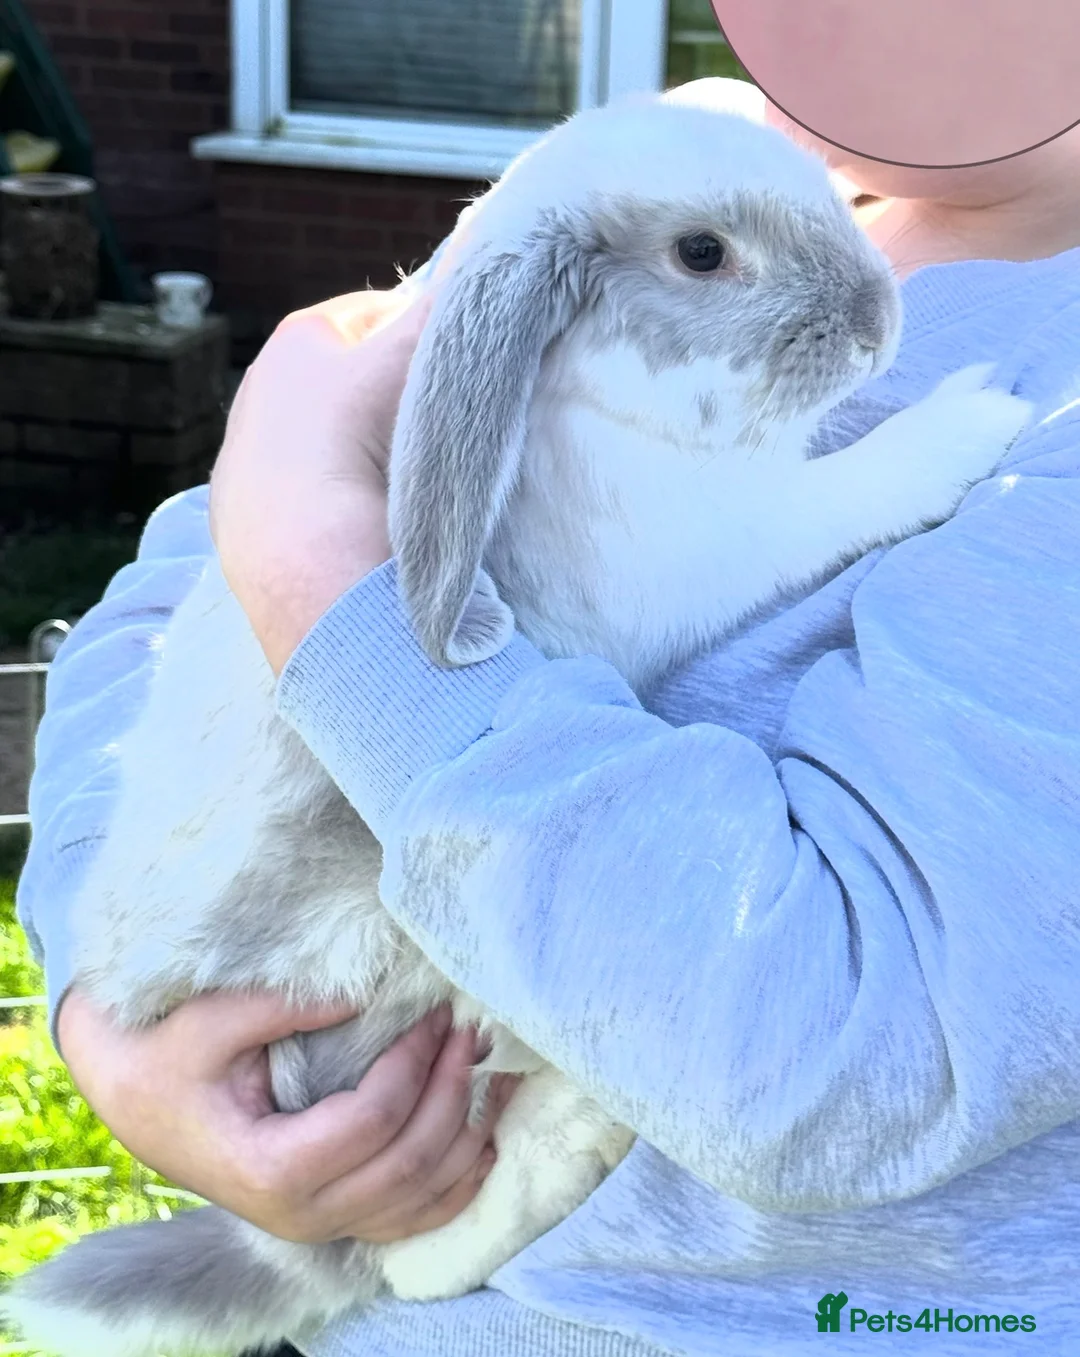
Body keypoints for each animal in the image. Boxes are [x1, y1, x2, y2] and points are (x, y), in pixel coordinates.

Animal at [3, 79, 1031, 1357]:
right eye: (701, 253)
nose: (878, 325)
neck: (590, 400)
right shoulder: (726, 537)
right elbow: (851, 488)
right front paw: (975, 421)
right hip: (415, 979)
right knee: (417, 1242)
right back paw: (572, 1149)